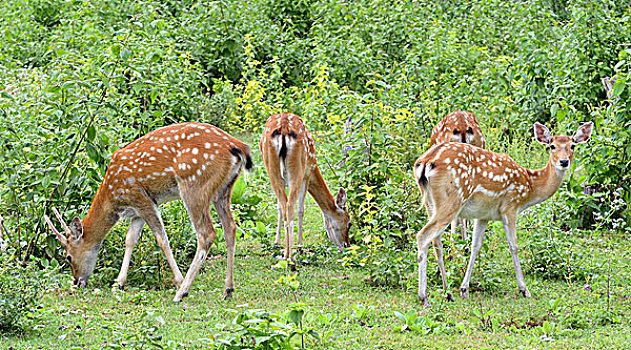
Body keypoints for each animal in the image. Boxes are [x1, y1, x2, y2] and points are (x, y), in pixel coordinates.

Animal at [45, 122, 252, 300]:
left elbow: (162, 240)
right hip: (224, 189)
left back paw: (182, 292)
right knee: (230, 228)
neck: (113, 196)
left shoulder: (142, 198)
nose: (77, 282)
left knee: (207, 233)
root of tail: (238, 146)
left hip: (194, 184)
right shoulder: (137, 210)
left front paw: (178, 281)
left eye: (68, 257)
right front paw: (119, 283)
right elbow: (130, 240)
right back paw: (228, 290)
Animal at [260, 113, 354, 262]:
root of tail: (284, 128)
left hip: (272, 169)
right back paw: (292, 256)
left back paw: (285, 254)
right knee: (291, 207)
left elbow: (279, 208)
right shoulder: (307, 173)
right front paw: (300, 247)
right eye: (349, 223)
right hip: (298, 168)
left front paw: (277, 244)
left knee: (285, 206)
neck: (315, 169)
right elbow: (301, 210)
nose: (346, 246)